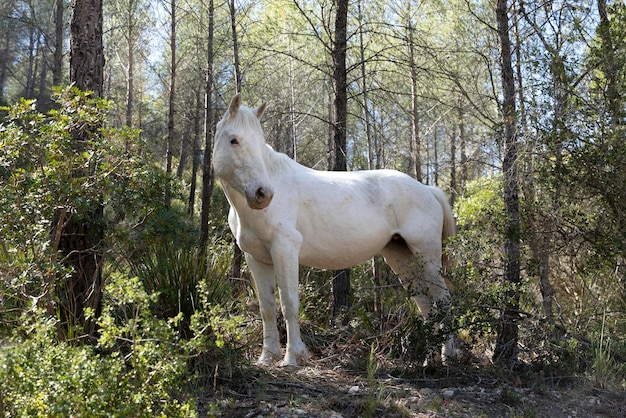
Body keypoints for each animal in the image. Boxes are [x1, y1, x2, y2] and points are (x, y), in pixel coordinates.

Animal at [213, 94, 454, 366]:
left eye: (259, 143)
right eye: (234, 140)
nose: (263, 194)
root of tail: (427, 190)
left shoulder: (285, 250)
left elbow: (289, 303)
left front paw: (292, 357)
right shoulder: (257, 258)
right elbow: (267, 307)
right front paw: (267, 357)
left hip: (426, 256)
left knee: (442, 301)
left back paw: (448, 357)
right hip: (402, 257)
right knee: (426, 304)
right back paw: (429, 361)